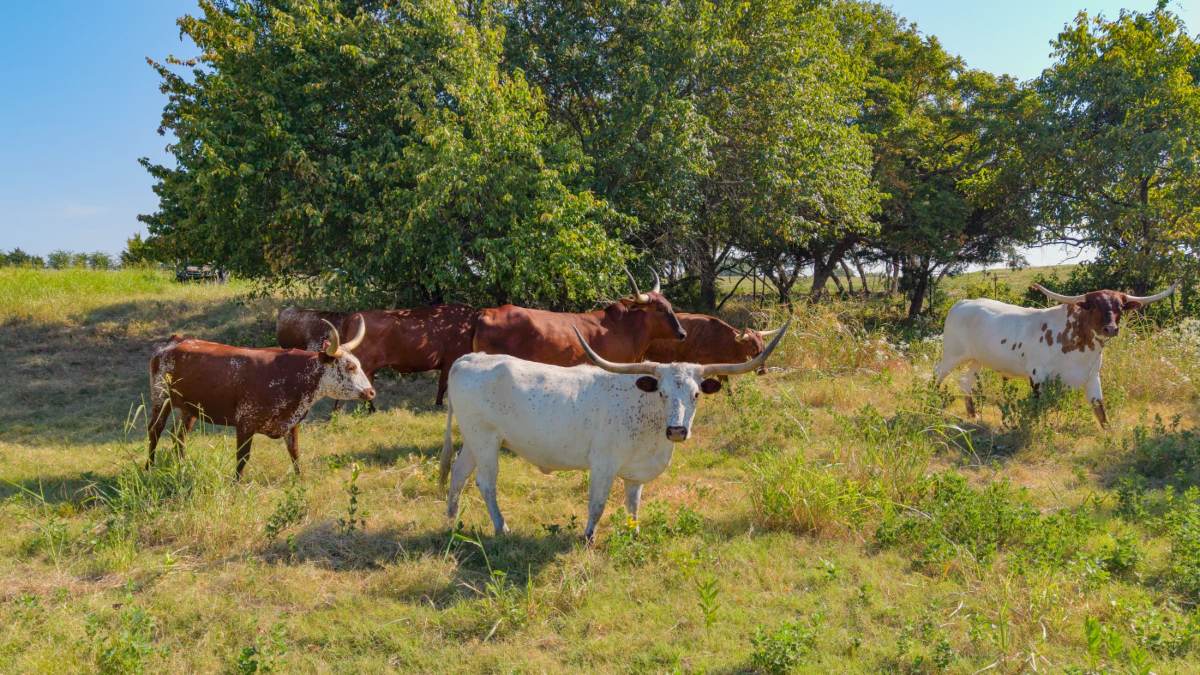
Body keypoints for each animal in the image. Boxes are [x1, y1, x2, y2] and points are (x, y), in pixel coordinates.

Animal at [148, 316, 376, 479]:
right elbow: (242, 458)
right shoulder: (245, 423)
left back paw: (181, 467)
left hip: (190, 409)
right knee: (155, 431)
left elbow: (295, 453)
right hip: (161, 398)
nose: (371, 392)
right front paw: (236, 485)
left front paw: (300, 481)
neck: (292, 375)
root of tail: (174, 341)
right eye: (350, 367)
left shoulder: (291, 424)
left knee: (178, 436)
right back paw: (148, 468)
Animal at [935, 283, 1177, 427]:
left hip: (977, 359)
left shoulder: (1092, 376)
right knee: (938, 373)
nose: (1111, 328)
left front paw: (1109, 435)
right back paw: (931, 400)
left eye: (1119, 307)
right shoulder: (1038, 376)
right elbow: (1038, 408)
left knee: (965, 381)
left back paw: (973, 415)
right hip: (952, 354)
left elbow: (1100, 409)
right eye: (1093, 306)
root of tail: (962, 303)